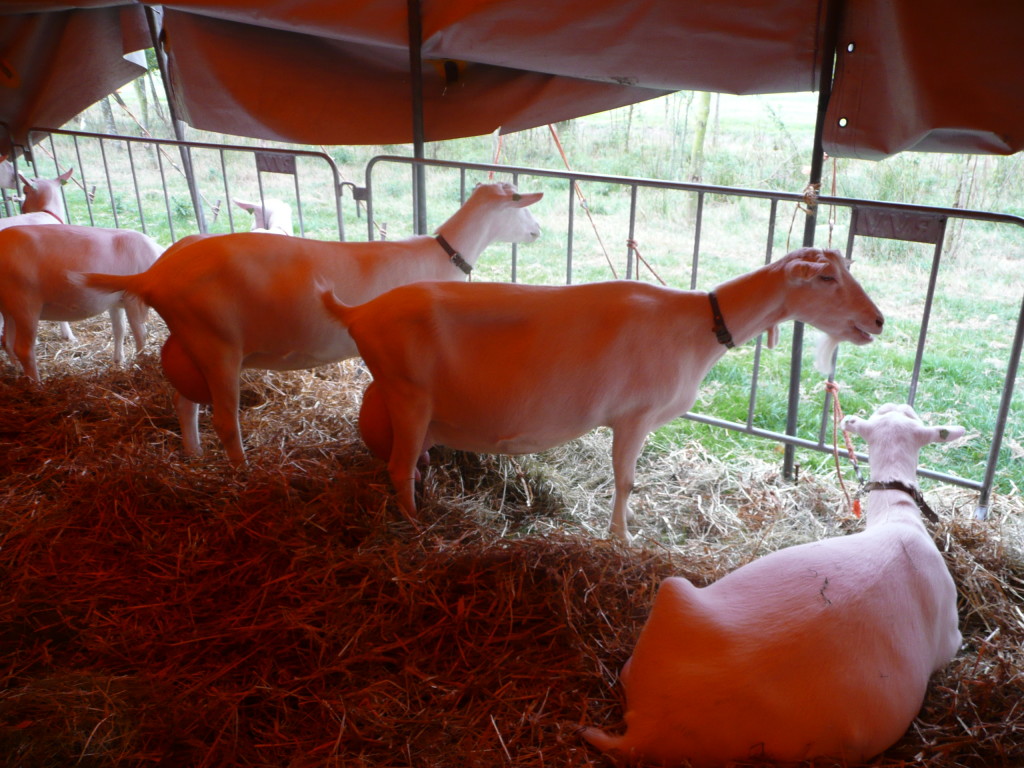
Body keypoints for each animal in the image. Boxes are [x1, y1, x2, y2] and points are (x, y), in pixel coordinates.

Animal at [0, 224, 160, 381]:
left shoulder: (116, 303)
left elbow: (120, 330)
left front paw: (119, 362)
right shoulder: (133, 299)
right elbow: (140, 333)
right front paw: (143, 362)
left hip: (9, 310)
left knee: (7, 342)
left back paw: (18, 372)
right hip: (25, 305)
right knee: (24, 349)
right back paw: (36, 383)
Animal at [80, 181, 543, 463]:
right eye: (520, 207)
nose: (538, 231)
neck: (442, 255)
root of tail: (156, 275)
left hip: (192, 344)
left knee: (184, 402)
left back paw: (194, 454)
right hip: (216, 345)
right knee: (224, 419)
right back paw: (241, 469)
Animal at [321, 247, 884, 541]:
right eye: (827, 277)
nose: (878, 320)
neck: (696, 328)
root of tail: (356, 313)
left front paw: (627, 526)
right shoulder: (634, 416)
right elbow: (626, 479)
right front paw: (622, 537)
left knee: (409, 462)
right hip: (408, 395)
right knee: (398, 467)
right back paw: (415, 523)